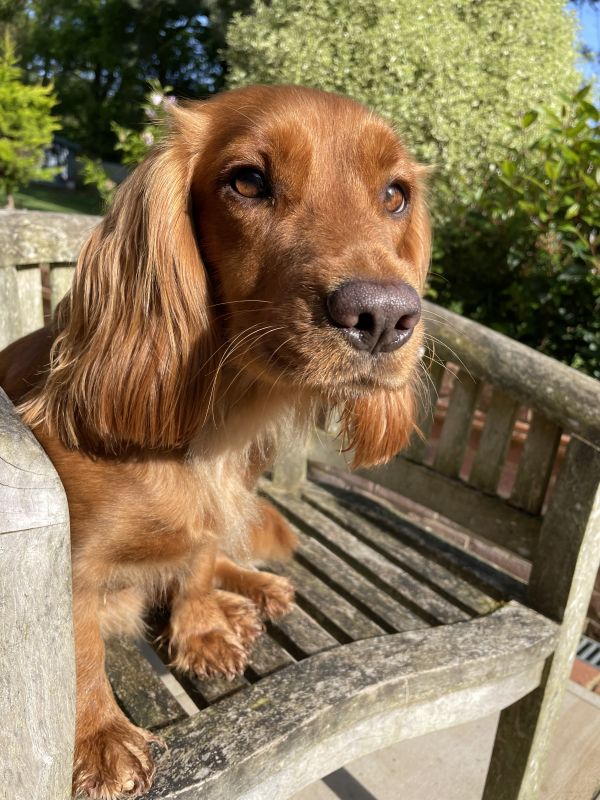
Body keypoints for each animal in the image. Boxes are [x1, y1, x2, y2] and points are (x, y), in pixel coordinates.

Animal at [0, 84, 432, 796]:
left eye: (395, 195)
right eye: (248, 181)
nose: (384, 317)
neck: (222, 420)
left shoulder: (213, 516)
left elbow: (199, 561)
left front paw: (201, 627)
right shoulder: (73, 566)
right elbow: (79, 647)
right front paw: (99, 739)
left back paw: (252, 588)